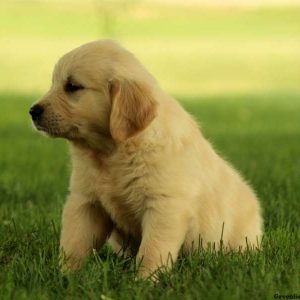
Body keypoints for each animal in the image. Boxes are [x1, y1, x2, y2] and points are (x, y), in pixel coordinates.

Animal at [29, 39, 262, 278]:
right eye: (54, 83)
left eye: (73, 86)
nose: (32, 111)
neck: (111, 153)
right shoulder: (86, 202)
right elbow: (74, 242)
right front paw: (65, 275)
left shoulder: (164, 206)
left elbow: (152, 249)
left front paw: (144, 280)